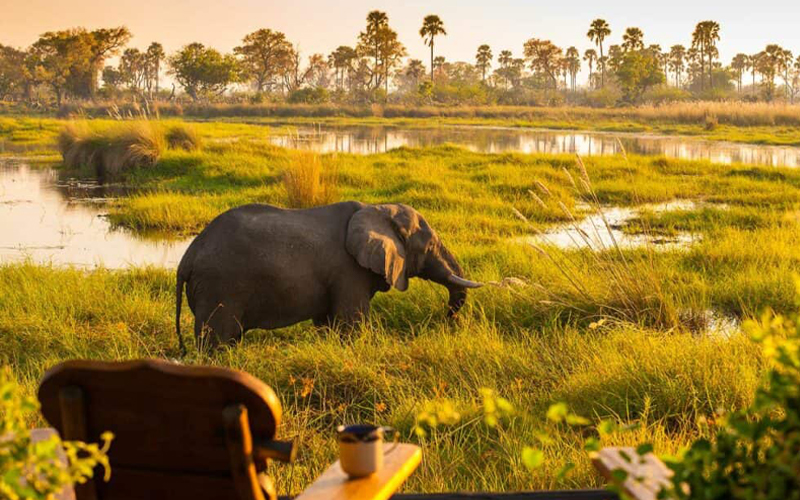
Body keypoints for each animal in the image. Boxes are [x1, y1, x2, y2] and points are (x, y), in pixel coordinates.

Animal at [175, 201, 482, 352]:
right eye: (429, 246)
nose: (449, 318)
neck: (377, 208)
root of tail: (187, 256)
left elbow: (328, 322)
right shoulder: (348, 270)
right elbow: (352, 322)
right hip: (218, 286)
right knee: (217, 342)